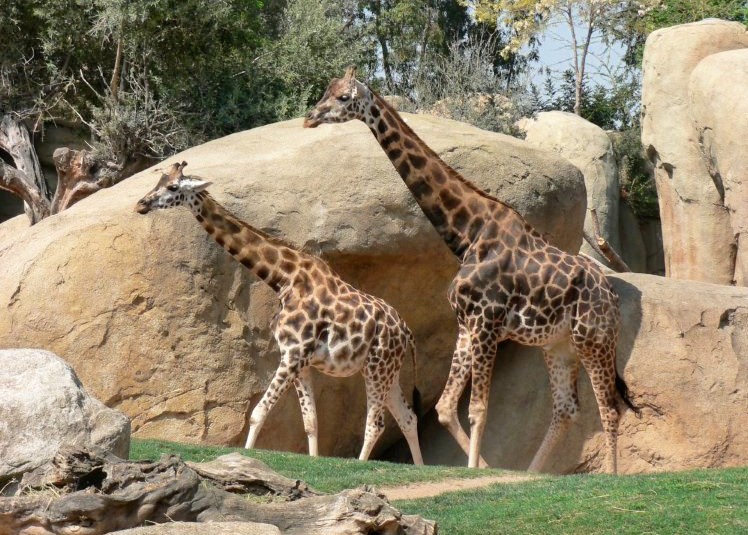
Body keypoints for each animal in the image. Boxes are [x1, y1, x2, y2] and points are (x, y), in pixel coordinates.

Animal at [135, 161, 423, 465]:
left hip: (378, 365)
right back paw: (419, 467)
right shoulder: (301, 362)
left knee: (377, 423)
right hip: (387, 370)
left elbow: (257, 413)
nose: (141, 204)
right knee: (408, 417)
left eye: (172, 187)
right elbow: (310, 422)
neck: (283, 278)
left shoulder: (292, 354)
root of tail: (406, 331)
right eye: (159, 181)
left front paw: (244, 458)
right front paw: (313, 461)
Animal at [304, 67, 639, 474]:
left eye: (342, 97)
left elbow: (478, 409)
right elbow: (446, 408)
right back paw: (531, 473)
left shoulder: (488, 323)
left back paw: (610, 476)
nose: (309, 117)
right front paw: (483, 467)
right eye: (326, 90)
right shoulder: (467, 325)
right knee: (566, 409)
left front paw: (477, 467)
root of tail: (612, 297)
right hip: (558, 345)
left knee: (609, 409)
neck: (468, 232)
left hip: (595, 339)